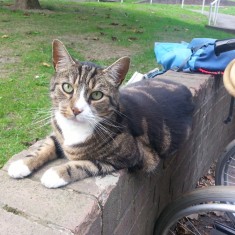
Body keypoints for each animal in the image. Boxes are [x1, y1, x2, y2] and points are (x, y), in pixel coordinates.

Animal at [8, 39, 194, 188]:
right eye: (67, 87)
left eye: (97, 95)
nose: (76, 109)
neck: (75, 130)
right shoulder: (58, 132)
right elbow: (45, 146)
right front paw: (22, 164)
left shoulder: (133, 157)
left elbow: (85, 164)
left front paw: (56, 174)